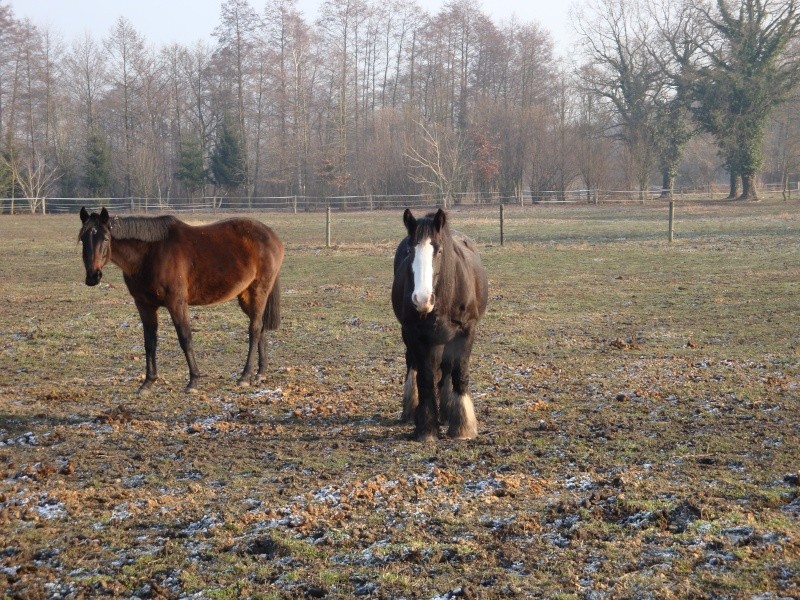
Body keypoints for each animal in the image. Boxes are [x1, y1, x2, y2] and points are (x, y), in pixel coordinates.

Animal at [79, 206, 284, 394]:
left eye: (106, 238)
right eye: (83, 239)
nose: (93, 277)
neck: (149, 255)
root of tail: (272, 236)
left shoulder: (176, 303)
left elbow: (185, 338)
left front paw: (193, 381)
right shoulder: (144, 305)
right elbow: (149, 342)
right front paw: (148, 383)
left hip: (259, 291)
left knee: (254, 329)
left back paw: (245, 376)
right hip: (245, 296)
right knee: (260, 327)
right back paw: (260, 373)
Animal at [390, 210, 484, 440]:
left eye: (439, 250)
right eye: (410, 250)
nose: (422, 299)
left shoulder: (466, 331)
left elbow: (460, 372)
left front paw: (463, 427)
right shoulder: (415, 334)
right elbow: (425, 377)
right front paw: (427, 428)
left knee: (447, 368)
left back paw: (448, 412)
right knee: (414, 365)